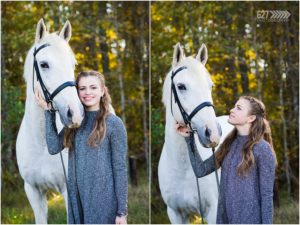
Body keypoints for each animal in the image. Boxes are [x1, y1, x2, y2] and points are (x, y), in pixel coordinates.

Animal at [16, 18, 84, 223]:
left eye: (73, 64)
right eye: (44, 64)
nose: (76, 114)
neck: (41, 143)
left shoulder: (68, 192)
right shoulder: (33, 192)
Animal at [158, 42, 233, 223]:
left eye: (210, 86)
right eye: (181, 86)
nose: (213, 133)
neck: (183, 169)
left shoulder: (212, 212)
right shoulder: (175, 213)